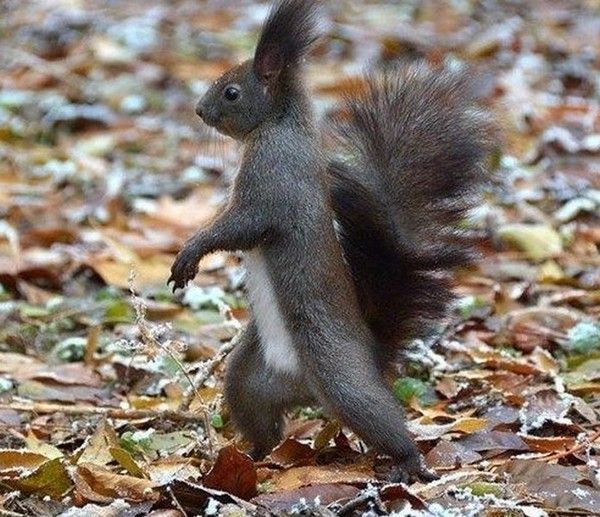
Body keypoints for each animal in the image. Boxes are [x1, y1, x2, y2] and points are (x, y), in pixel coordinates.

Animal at [168, 0, 492, 482]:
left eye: (231, 92)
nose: (199, 110)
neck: (279, 127)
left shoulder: (273, 183)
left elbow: (242, 226)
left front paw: (190, 253)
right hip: (249, 379)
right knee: (263, 422)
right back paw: (250, 458)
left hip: (340, 375)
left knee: (378, 415)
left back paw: (405, 462)